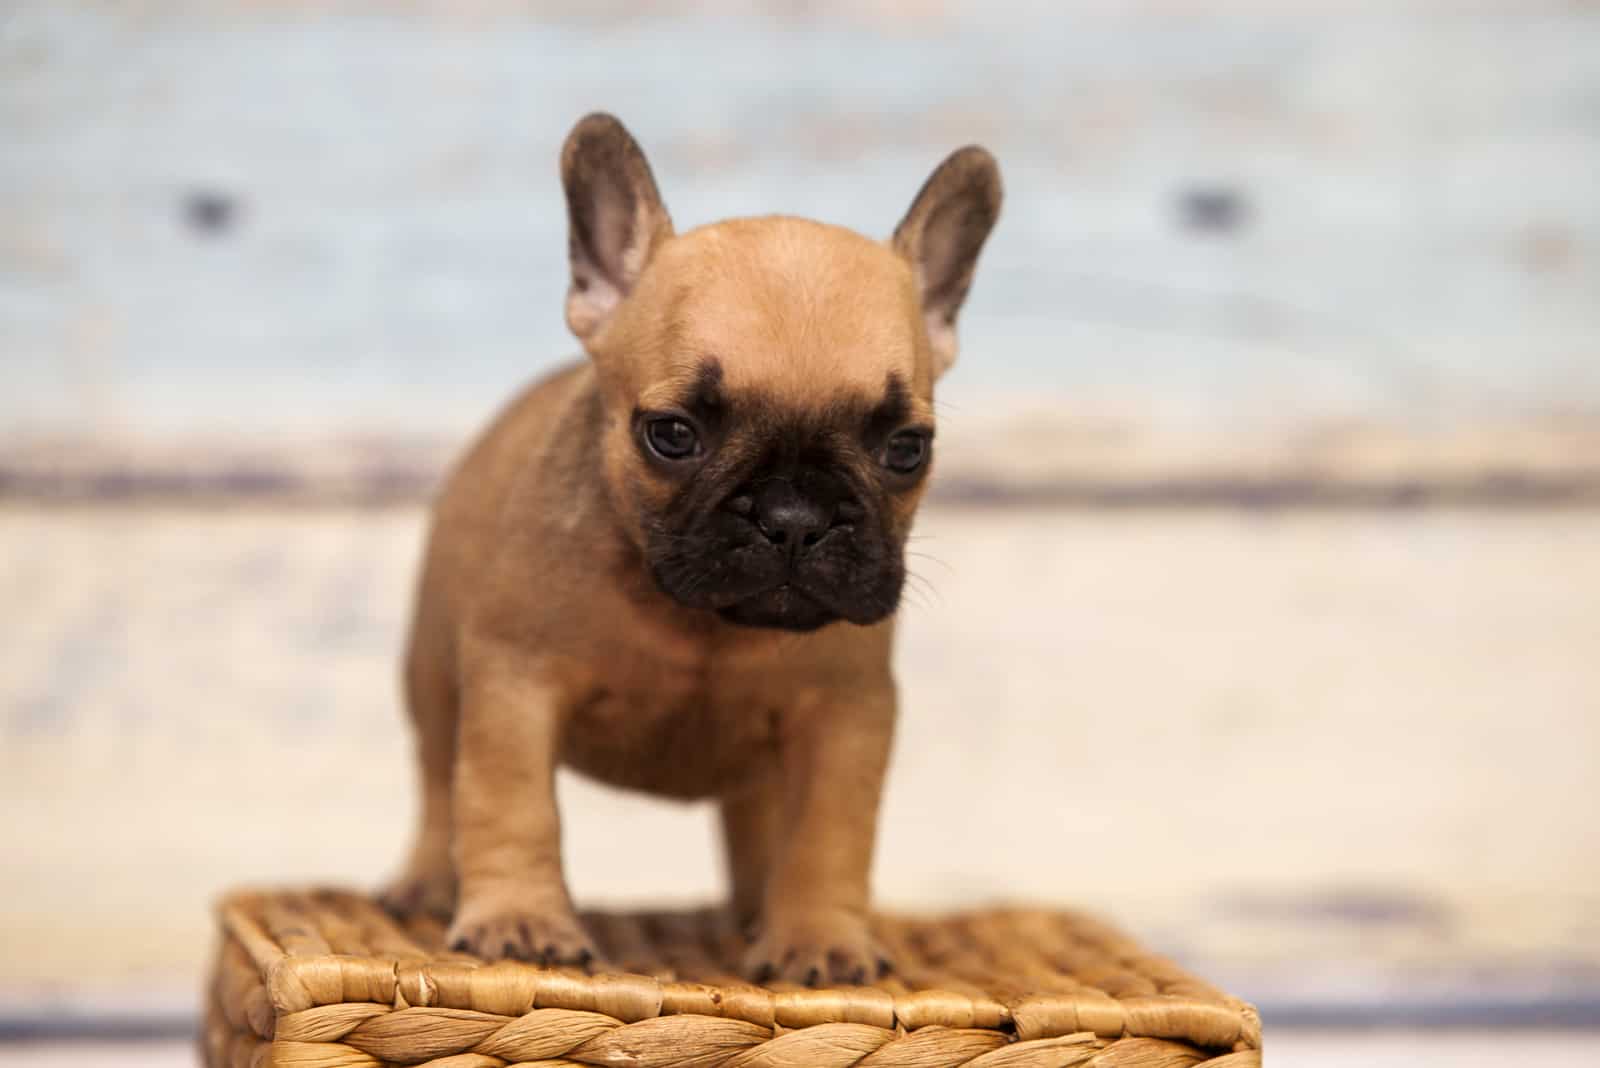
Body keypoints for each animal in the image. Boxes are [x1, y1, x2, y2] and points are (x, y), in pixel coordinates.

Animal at [377, 110, 998, 984]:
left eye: (907, 448)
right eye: (672, 435)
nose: (795, 514)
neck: (700, 620)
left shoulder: (845, 717)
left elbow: (829, 835)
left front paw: (818, 937)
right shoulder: (515, 685)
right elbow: (511, 804)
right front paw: (520, 919)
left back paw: (756, 911)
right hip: (433, 675)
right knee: (438, 779)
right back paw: (430, 880)